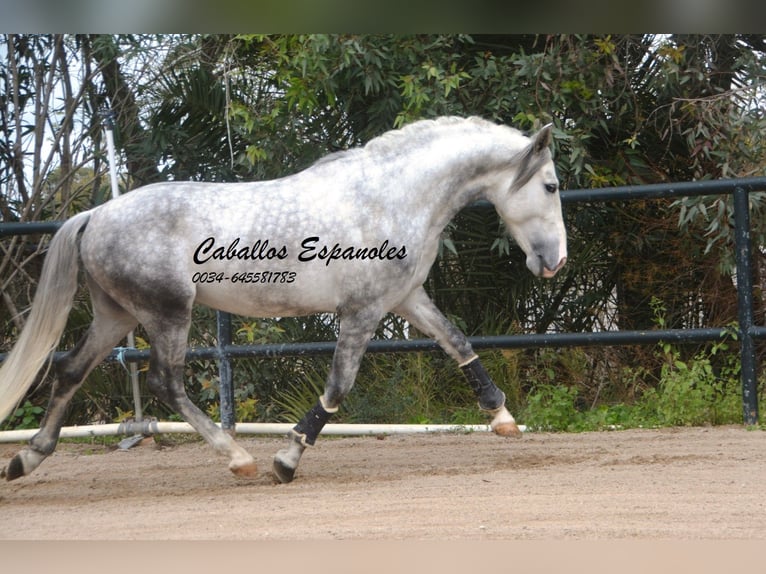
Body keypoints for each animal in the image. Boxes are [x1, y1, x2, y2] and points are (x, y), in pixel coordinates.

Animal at [0, 117, 564, 486]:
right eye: (552, 186)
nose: (555, 261)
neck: (388, 197)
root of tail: (95, 214)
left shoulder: (404, 298)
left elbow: (457, 342)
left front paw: (502, 418)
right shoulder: (361, 312)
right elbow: (338, 386)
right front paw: (287, 460)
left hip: (118, 315)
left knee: (70, 369)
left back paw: (27, 459)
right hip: (167, 312)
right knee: (165, 381)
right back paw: (238, 457)